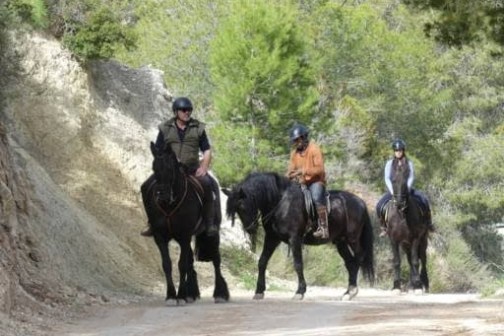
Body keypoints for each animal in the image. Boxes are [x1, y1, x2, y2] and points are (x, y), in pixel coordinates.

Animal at [140, 142, 230, 304]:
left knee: (216, 260)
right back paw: (192, 293)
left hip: (212, 234)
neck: (169, 205)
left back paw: (220, 293)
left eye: (170, 168)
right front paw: (171, 295)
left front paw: (181, 295)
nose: (161, 195)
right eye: (154, 168)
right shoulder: (160, 237)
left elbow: (181, 265)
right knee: (191, 261)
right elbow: (167, 264)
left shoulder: (184, 236)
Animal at [221, 172, 374, 300]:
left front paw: (300, 291)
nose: (250, 229)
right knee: (350, 262)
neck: (281, 203)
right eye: (236, 210)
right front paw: (259, 291)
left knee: (358, 258)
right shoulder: (272, 238)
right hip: (340, 242)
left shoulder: (294, 239)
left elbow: (298, 264)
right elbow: (262, 261)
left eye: (243, 207)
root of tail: (360, 202)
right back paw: (348, 292)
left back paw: (352, 291)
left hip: (352, 239)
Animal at [386, 161, 430, 292]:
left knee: (423, 259)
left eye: (405, 181)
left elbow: (416, 261)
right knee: (410, 260)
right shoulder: (394, 239)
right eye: (393, 180)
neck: (402, 215)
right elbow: (397, 261)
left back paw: (424, 283)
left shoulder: (416, 238)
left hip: (423, 240)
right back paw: (412, 284)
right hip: (405, 244)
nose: (400, 202)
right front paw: (396, 285)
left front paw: (418, 284)